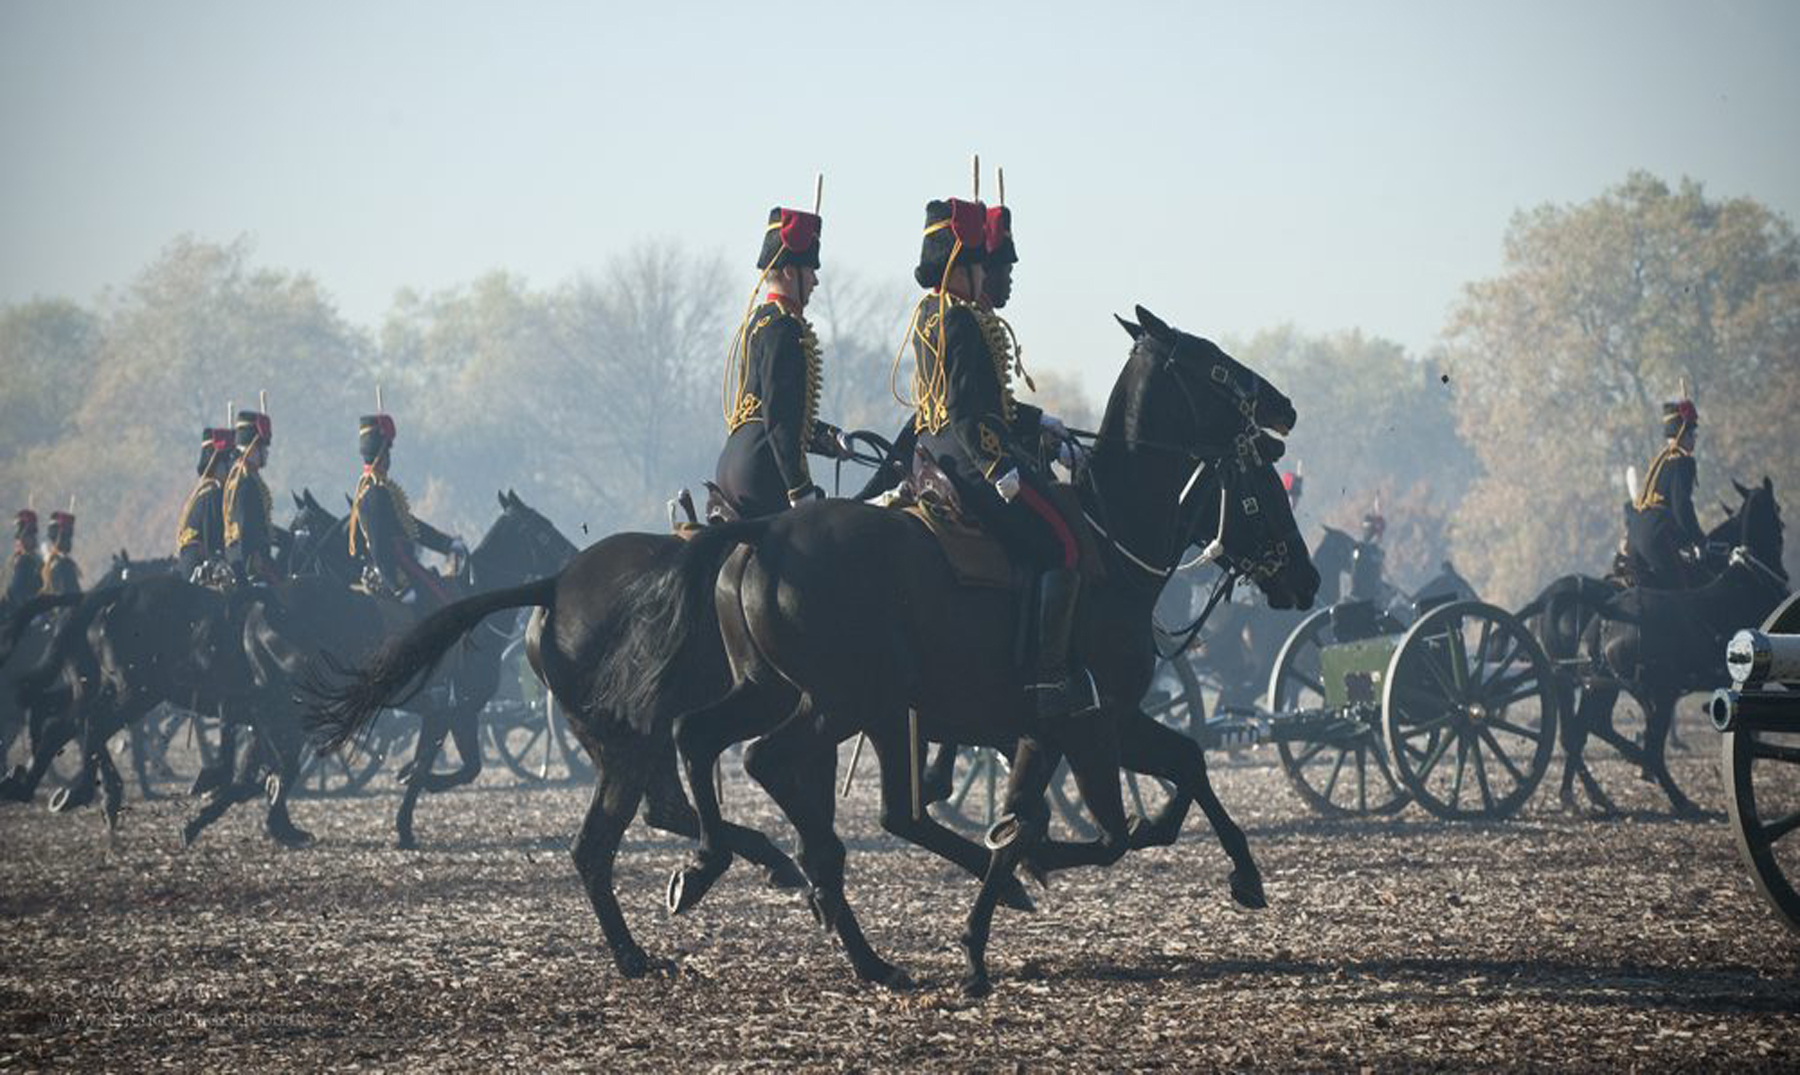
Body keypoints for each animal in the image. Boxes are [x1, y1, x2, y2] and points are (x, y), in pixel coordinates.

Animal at [587, 306, 1319, 995]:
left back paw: (725, 875)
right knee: (768, 764)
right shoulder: (1094, 724)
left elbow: (1169, 768)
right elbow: (1110, 830)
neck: (1111, 541)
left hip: (784, 694)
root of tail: (762, 532)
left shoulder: (1054, 730)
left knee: (700, 737)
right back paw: (826, 908)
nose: (1283, 410)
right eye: (1215, 364)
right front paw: (1049, 865)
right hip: (841, 704)